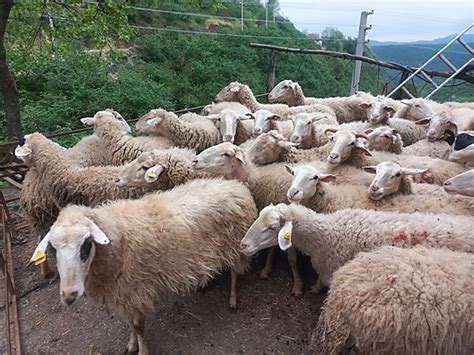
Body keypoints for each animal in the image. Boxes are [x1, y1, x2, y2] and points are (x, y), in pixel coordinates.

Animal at [29, 179, 258, 354]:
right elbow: (131, 323)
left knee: (235, 273)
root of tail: (236, 184)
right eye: (53, 249)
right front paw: (131, 344)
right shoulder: (124, 292)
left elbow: (138, 325)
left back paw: (233, 299)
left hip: (236, 244)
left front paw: (142, 350)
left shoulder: (137, 289)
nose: (69, 296)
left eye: (86, 244)